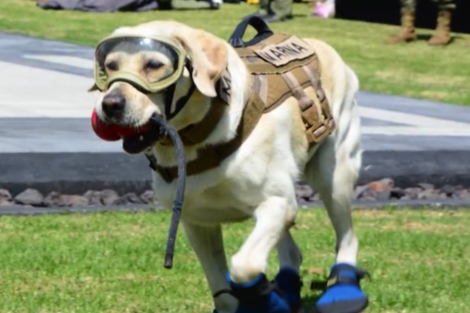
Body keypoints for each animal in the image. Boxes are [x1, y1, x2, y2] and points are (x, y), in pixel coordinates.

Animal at [92, 18, 370, 312]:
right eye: (110, 66)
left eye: (154, 65)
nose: (110, 104)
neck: (200, 140)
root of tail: (320, 44)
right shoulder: (197, 222)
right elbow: (223, 290)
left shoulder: (277, 204)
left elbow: (242, 267)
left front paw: (265, 299)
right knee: (291, 250)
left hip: (334, 175)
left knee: (347, 236)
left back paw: (343, 290)